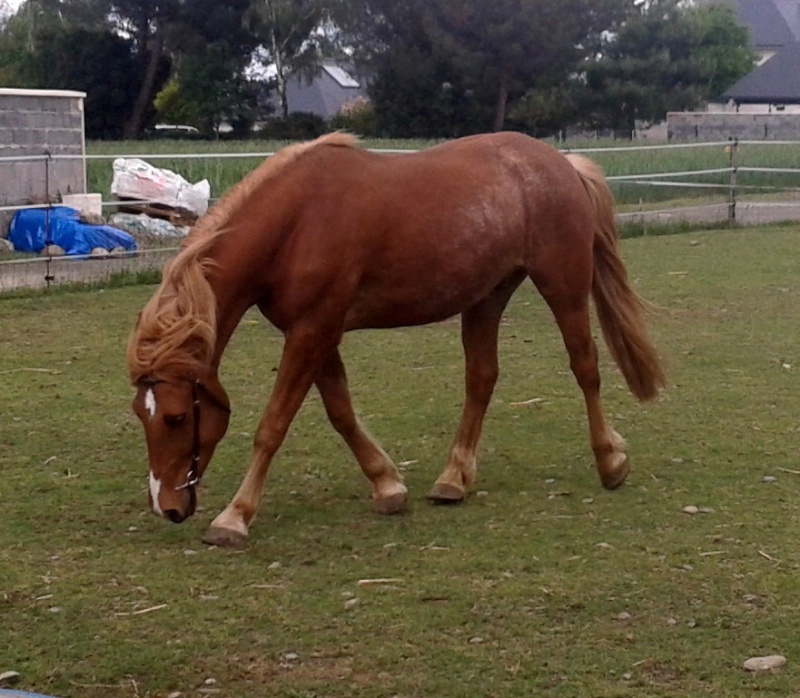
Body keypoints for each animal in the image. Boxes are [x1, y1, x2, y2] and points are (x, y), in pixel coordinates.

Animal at [126, 130, 664, 544]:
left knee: (586, 367)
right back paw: (454, 478)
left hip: (564, 286)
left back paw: (610, 460)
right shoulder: (317, 333)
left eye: (176, 416)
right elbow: (341, 412)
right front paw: (387, 486)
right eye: (140, 413)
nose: (167, 506)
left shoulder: (312, 331)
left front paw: (234, 517)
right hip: (486, 297)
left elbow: (273, 425)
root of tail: (561, 162)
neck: (297, 221)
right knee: (481, 379)